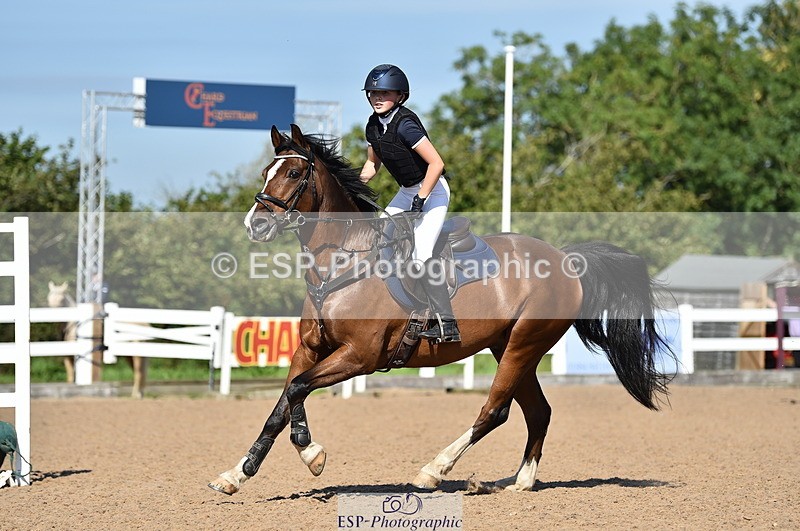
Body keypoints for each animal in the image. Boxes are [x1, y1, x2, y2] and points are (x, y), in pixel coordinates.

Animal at [209, 124, 673, 495]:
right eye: (266, 173)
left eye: (293, 173)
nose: (255, 224)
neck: (341, 262)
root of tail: (565, 259)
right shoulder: (310, 350)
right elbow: (282, 405)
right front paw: (237, 474)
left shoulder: (359, 356)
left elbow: (298, 390)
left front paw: (311, 453)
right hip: (509, 347)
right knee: (537, 411)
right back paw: (521, 482)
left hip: (524, 343)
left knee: (495, 410)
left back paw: (433, 470)